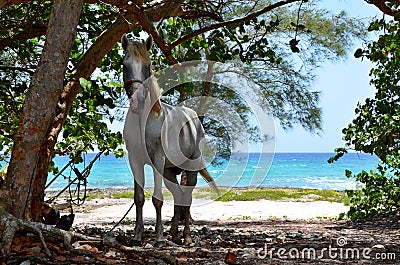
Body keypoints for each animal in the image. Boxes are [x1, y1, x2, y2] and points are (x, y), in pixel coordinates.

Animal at [121, 33, 217, 245]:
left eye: (148, 66)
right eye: (125, 65)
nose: (137, 100)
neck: (143, 121)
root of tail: (193, 116)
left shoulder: (157, 160)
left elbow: (157, 199)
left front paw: (159, 238)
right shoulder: (135, 160)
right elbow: (139, 198)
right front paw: (137, 236)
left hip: (190, 167)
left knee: (187, 197)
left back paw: (186, 237)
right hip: (170, 171)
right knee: (178, 195)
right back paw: (174, 233)